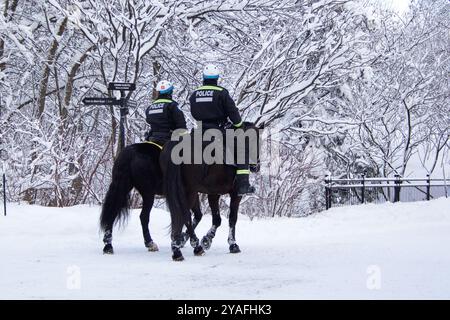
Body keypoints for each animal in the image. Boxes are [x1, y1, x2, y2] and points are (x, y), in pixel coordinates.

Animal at [163, 122, 262, 260]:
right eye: (256, 140)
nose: (256, 166)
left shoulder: (212, 193)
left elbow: (217, 219)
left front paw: (188, 239)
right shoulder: (228, 194)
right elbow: (229, 218)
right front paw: (228, 243)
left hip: (183, 190)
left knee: (184, 215)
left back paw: (178, 247)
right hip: (190, 191)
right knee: (185, 214)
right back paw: (193, 247)